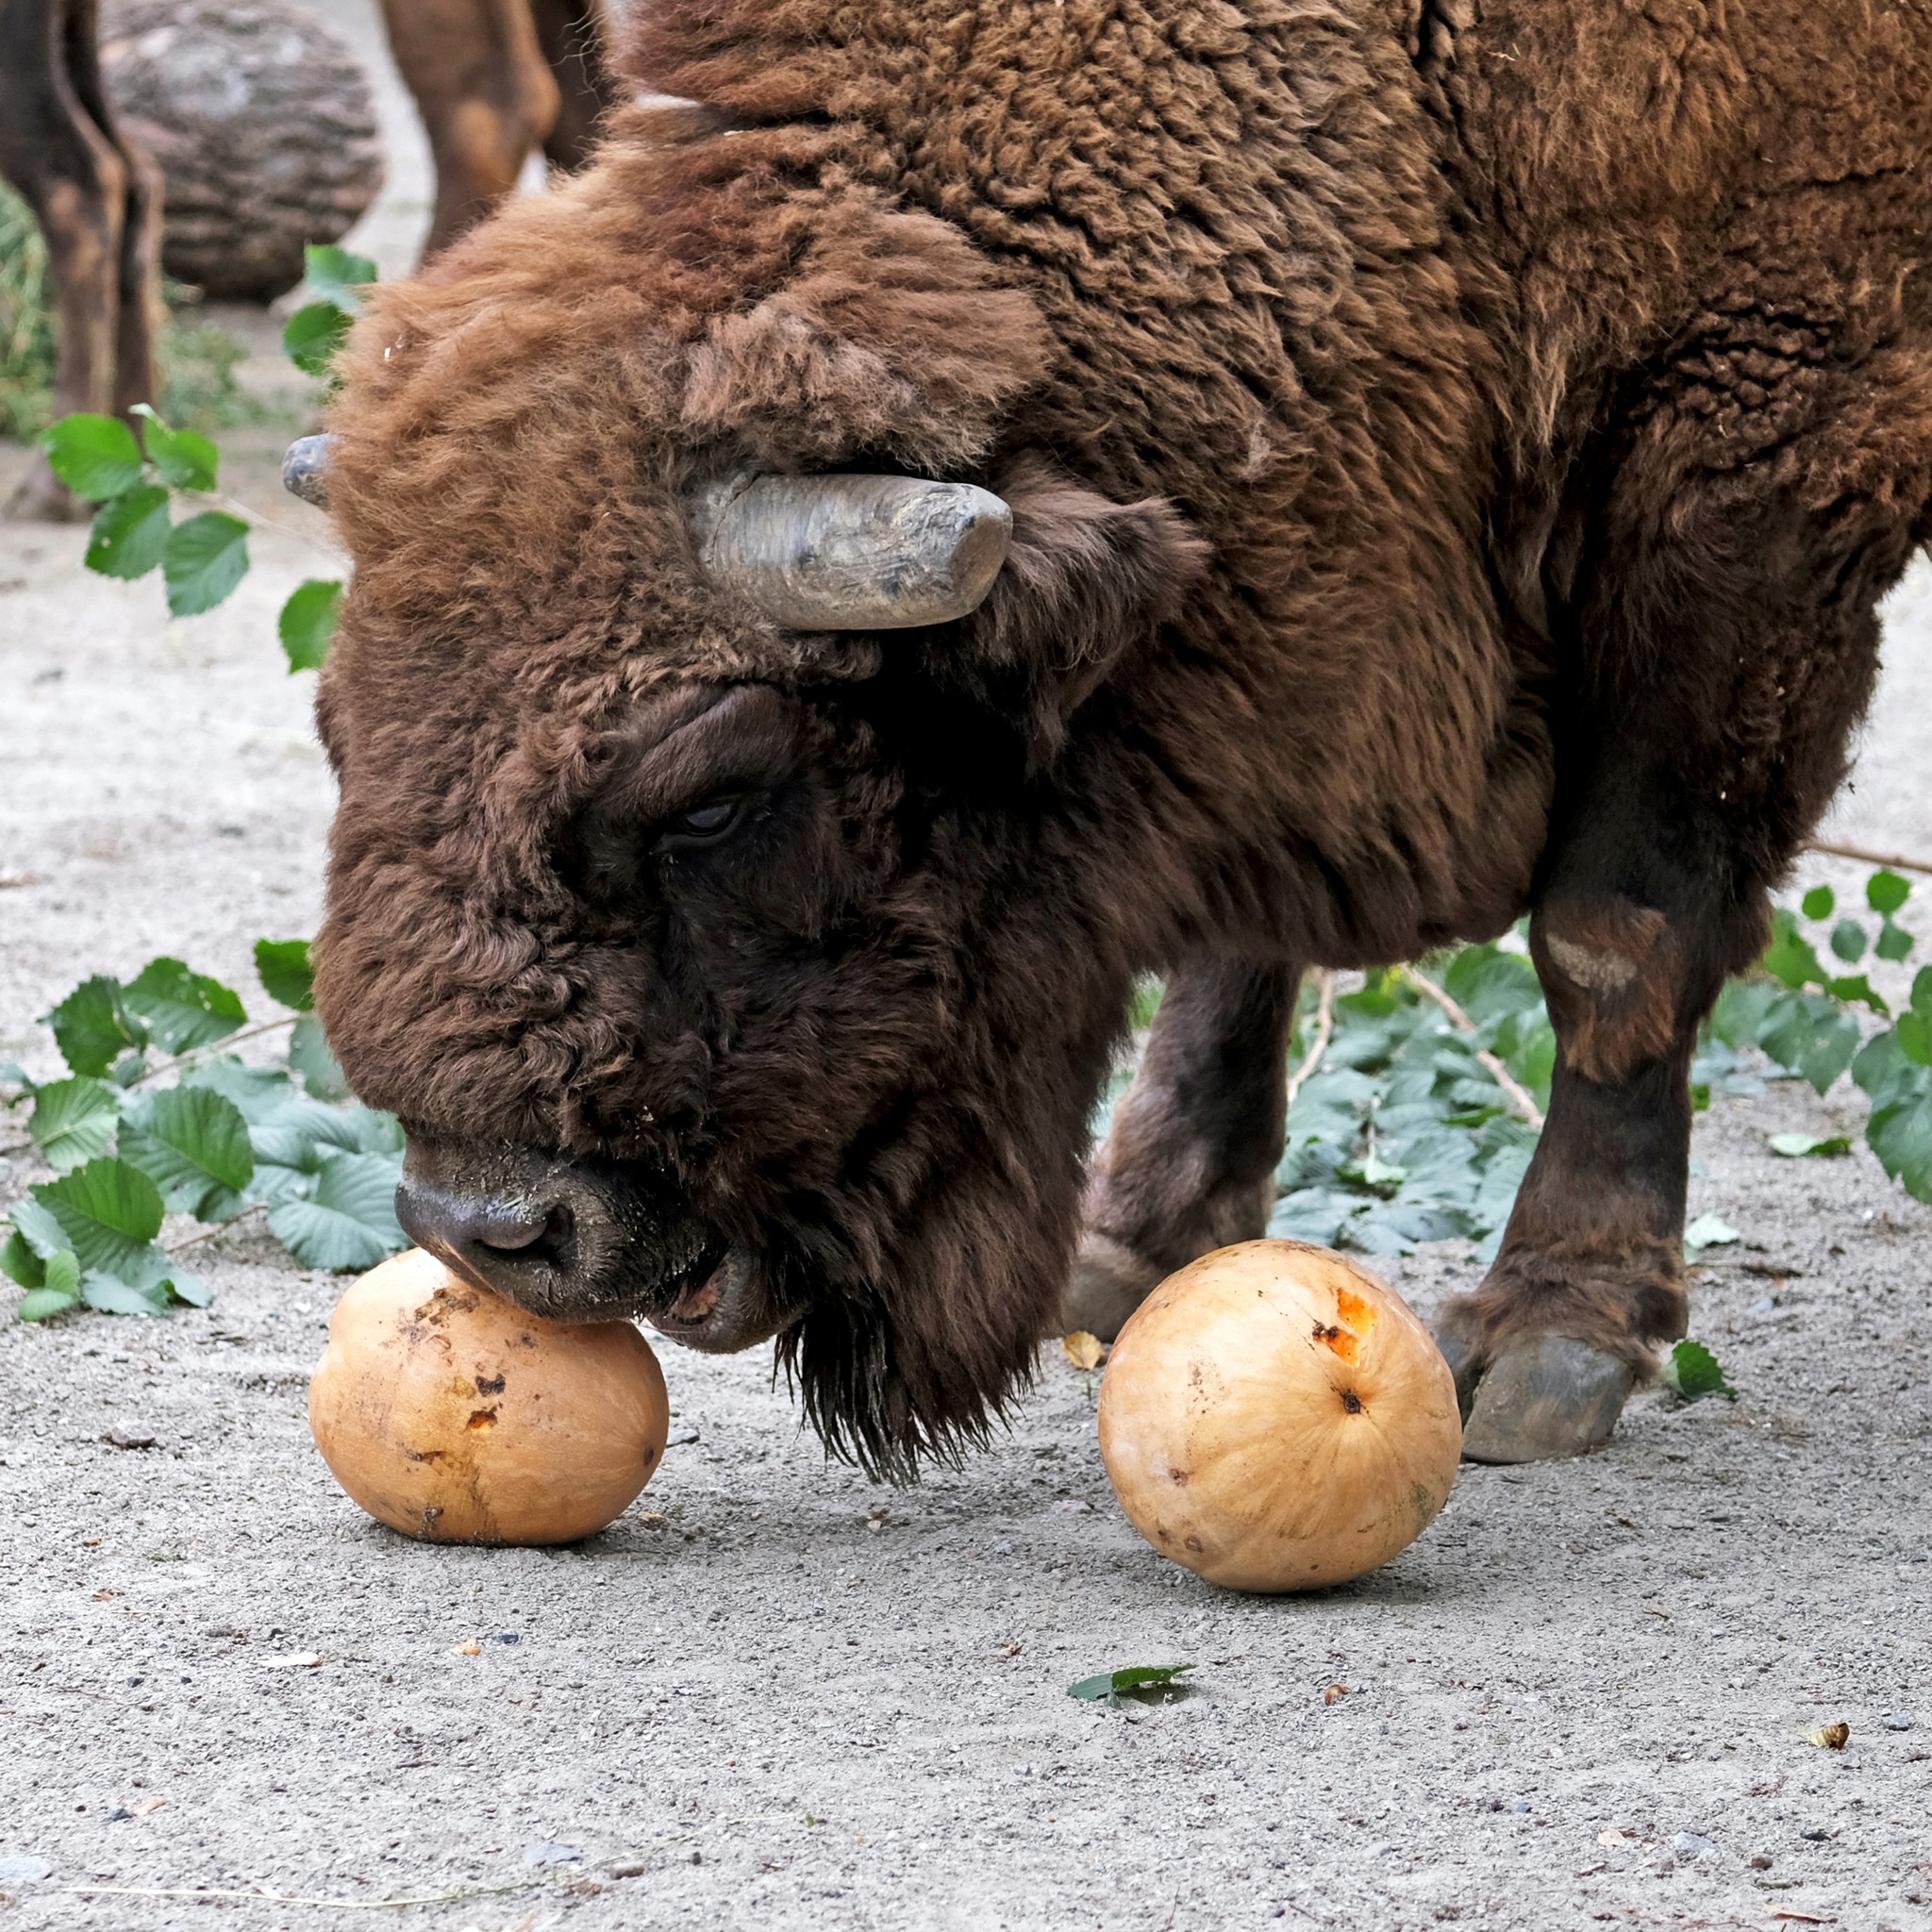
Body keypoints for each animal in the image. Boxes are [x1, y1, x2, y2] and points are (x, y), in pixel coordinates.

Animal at [297, 0, 1932, 1475]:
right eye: (334, 729)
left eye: (710, 800)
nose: (495, 1230)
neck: (1419, 93)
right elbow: (1234, 933)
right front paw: (1133, 1249)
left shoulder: (1754, 456)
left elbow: (1617, 934)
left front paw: (1552, 1341)